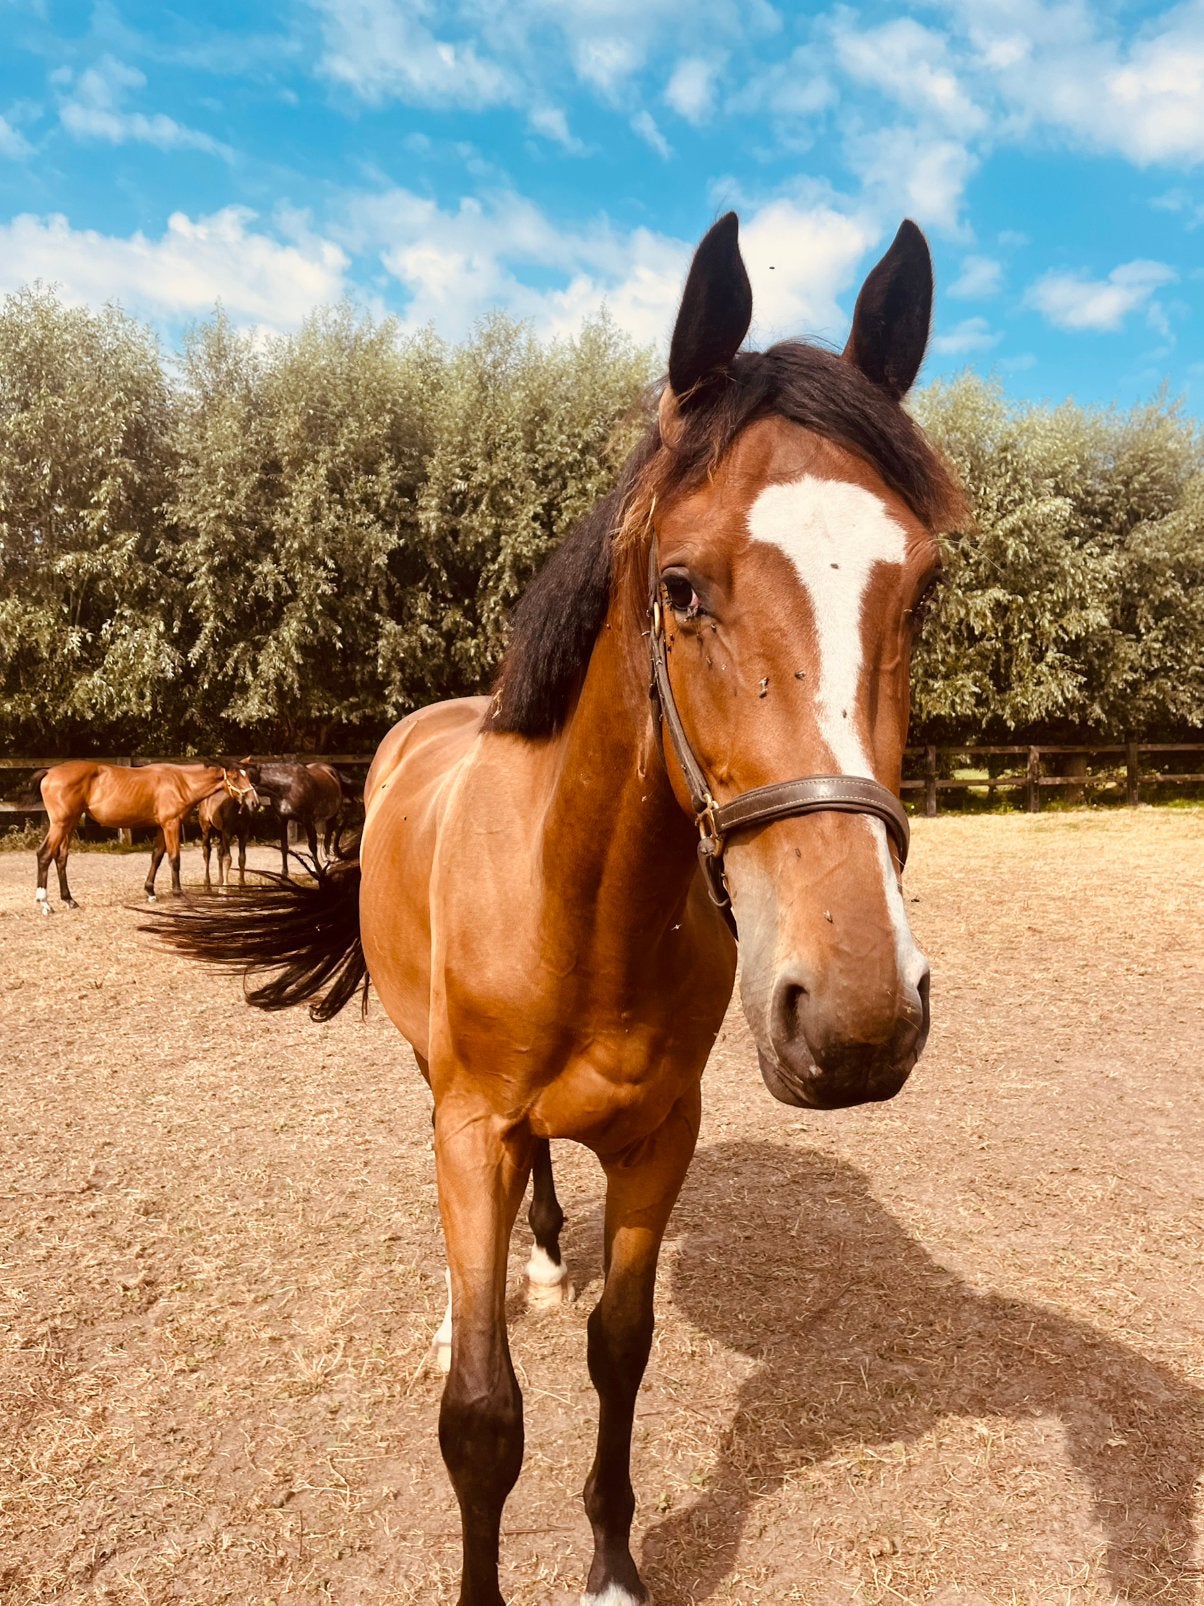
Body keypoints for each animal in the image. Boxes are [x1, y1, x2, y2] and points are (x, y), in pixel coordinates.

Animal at [33, 760, 256, 911]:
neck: (181, 782)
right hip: (60, 824)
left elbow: (156, 857)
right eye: (235, 777)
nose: (254, 802)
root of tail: (49, 771)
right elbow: (174, 859)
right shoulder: (171, 825)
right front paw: (178, 893)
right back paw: (45, 903)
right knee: (44, 855)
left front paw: (150, 892)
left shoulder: (161, 827)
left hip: (69, 825)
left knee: (61, 858)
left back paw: (69, 900)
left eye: (248, 776)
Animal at [154, 212, 965, 1606]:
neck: (582, 910)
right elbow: (484, 1418)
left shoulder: (658, 1142)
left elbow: (617, 1349)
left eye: (915, 591)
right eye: (680, 586)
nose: (857, 1017)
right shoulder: (469, 1125)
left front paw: (612, 1562)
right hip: (432, 1080)